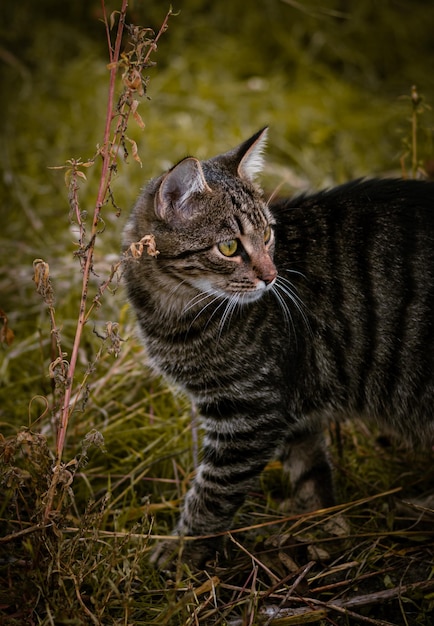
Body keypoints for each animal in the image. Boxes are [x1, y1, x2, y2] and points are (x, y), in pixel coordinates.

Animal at [121, 129, 434, 568]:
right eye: (229, 247)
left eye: (267, 234)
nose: (271, 276)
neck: (172, 309)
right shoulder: (289, 406)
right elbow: (310, 475)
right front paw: (316, 525)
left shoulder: (248, 413)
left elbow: (211, 493)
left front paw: (180, 553)